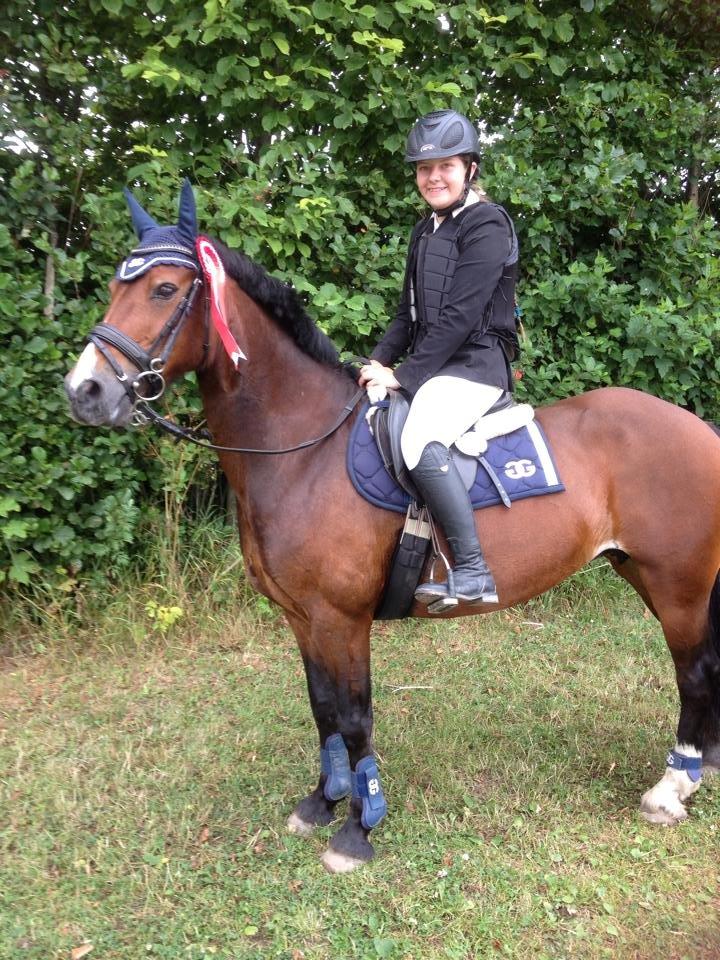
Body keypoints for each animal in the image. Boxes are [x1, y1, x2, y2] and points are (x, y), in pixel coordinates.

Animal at [63, 184, 720, 872]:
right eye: (114, 286)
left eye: (164, 289)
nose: (85, 391)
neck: (304, 452)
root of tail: (698, 428)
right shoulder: (302, 618)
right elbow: (323, 711)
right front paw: (321, 802)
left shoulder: (341, 619)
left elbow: (355, 718)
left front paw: (359, 826)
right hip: (645, 574)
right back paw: (699, 771)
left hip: (677, 585)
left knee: (695, 672)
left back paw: (670, 789)